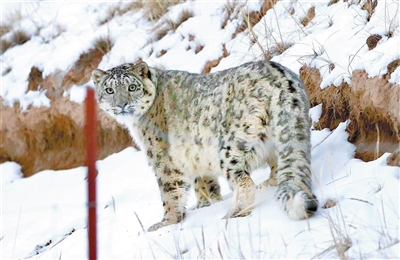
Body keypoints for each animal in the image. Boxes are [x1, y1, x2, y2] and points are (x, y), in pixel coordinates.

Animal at [91, 61, 318, 232]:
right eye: (109, 90)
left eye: (132, 87)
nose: (121, 104)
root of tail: (279, 76)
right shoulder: (195, 156)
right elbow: (204, 183)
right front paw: (205, 204)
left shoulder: (161, 158)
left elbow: (168, 191)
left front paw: (166, 223)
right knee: (279, 165)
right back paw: (266, 185)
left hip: (230, 146)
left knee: (244, 181)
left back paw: (233, 213)